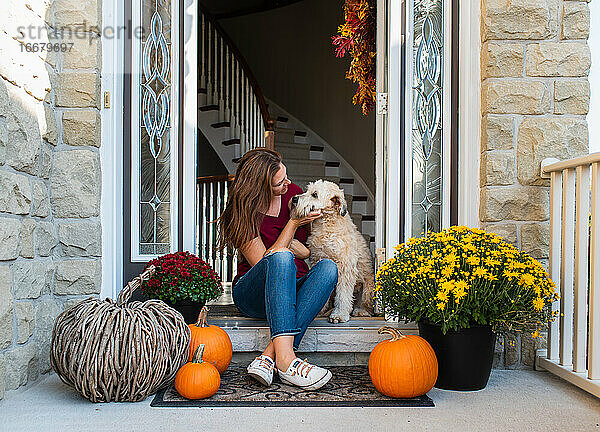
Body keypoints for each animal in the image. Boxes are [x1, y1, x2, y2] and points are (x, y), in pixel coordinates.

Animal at [290, 179, 376, 324]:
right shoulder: (318, 260)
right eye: (307, 190)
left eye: (314, 194)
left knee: (365, 304)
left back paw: (361, 310)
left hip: (368, 286)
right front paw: (319, 310)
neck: (326, 226)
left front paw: (339, 314)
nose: (294, 199)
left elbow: (343, 295)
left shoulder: (345, 268)